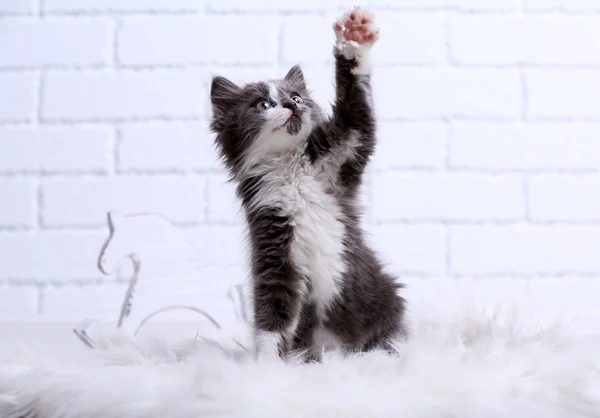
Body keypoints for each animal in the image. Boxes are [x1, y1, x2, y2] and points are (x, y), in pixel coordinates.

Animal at [209, 5, 406, 360]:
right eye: (264, 104)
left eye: (297, 97)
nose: (291, 105)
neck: (290, 167)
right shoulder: (273, 243)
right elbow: (273, 316)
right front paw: (266, 366)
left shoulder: (342, 156)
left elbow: (358, 114)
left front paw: (354, 41)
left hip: (383, 297)